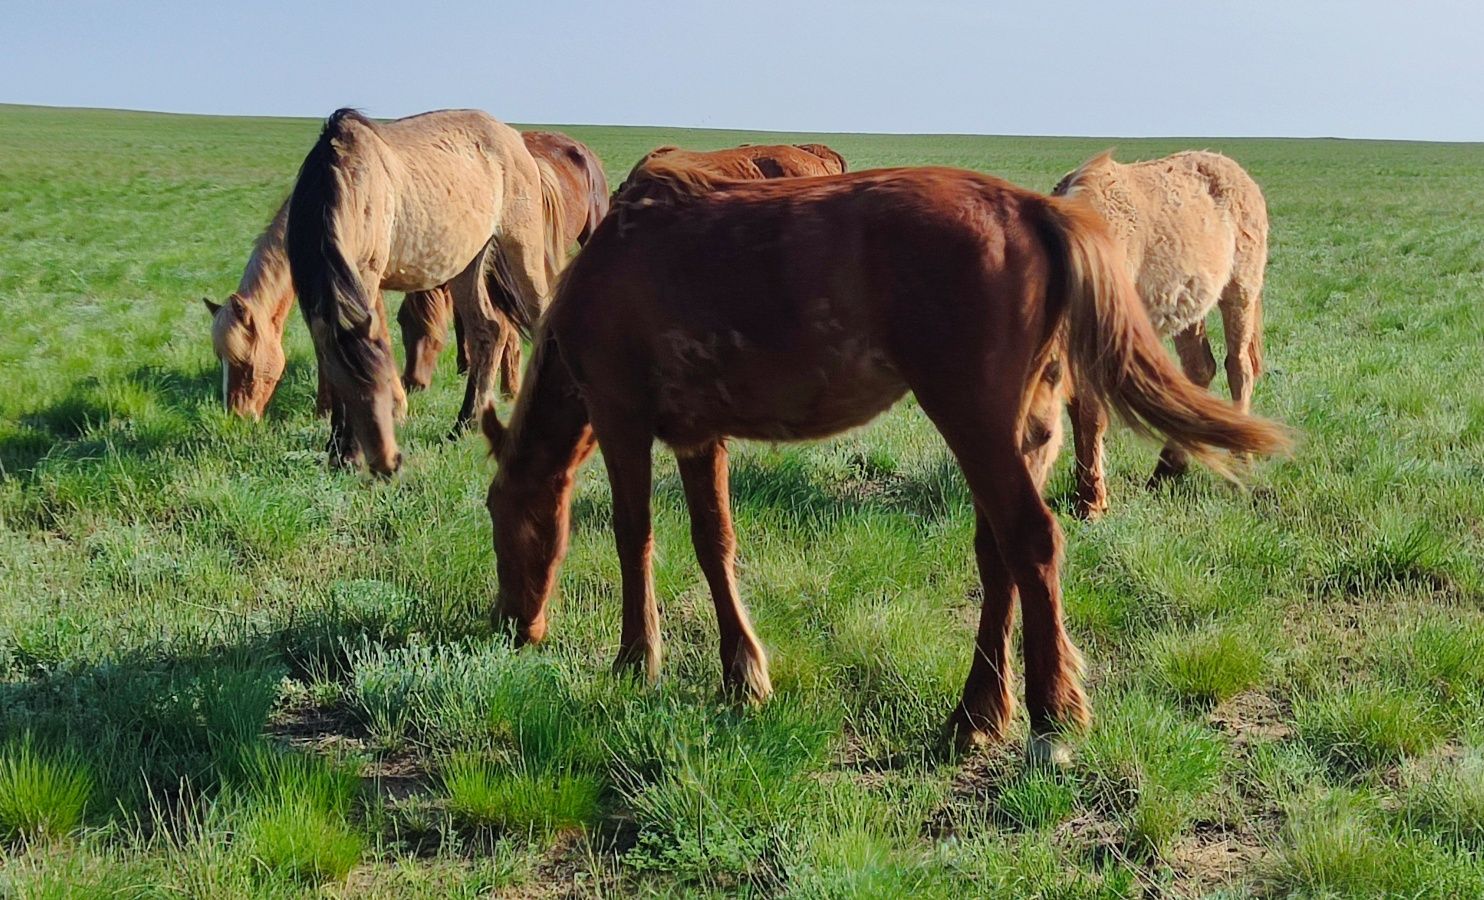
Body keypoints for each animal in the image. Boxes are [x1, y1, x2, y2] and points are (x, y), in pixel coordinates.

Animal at [284, 106, 560, 475]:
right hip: (467, 264)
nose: (387, 464)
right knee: (488, 331)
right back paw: (464, 424)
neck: (343, 180)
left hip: (522, 248)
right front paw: (335, 445)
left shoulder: (366, 277)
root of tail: (515, 138)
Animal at [1050, 150, 1270, 519]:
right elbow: (1079, 410)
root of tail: (1237, 171)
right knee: (1200, 369)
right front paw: (1085, 491)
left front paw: (1091, 502)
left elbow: (1092, 415)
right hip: (1190, 303)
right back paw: (1168, 468)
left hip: (1240, 291)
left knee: (1239, 368)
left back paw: (1241, 465)